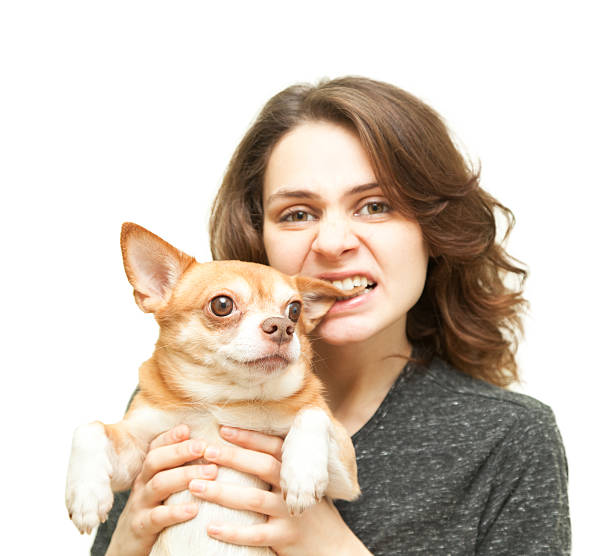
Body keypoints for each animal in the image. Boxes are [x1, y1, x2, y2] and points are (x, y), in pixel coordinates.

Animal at [65, 224, 364, 552]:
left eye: (295, 310)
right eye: (222, 305)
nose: (282, 327)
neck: (222, 399)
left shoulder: (346, 481)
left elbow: (312, 413)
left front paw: (302, 474)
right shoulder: (135, 453)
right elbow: (89, 427)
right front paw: (86, 496)